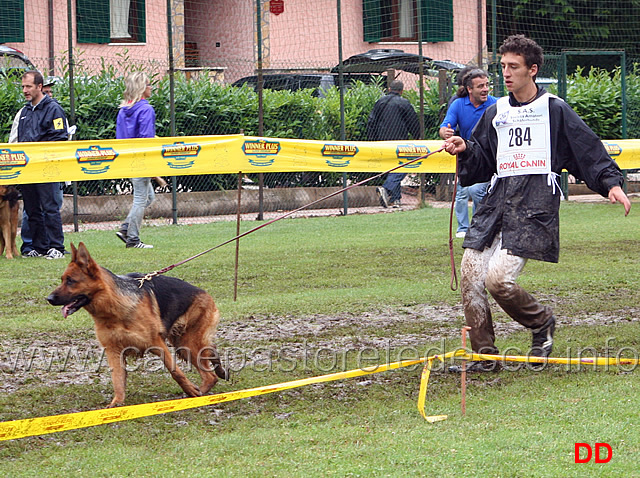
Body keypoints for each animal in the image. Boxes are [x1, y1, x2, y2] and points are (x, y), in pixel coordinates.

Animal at [47, 243, 228, 408]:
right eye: (62, 280)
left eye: (71, 281)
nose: (48, 299)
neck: (114, 309)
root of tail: (205, 293)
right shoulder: (113, 351)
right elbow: (117, 380)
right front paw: (116, 404)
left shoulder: (157, 343)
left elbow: (175, 371)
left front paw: (190, 389)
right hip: (182, 345)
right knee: (210, 359)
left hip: (186, 344)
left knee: (210, 374)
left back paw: (199, 393)